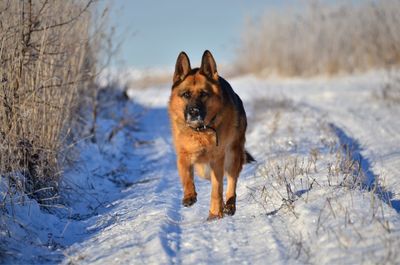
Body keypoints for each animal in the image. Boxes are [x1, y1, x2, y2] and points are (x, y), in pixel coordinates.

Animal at [169, 50, 253, 220]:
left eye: (203, 94)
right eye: (186, 94)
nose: (194, 112)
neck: (200, 130)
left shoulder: (217, 159)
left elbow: (217, 188)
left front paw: (215, 213)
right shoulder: (183, 155)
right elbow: (186, 177)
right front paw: (189, 196)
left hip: (232, 155)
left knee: (230, 181)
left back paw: (229, 206)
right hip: (204, 169)